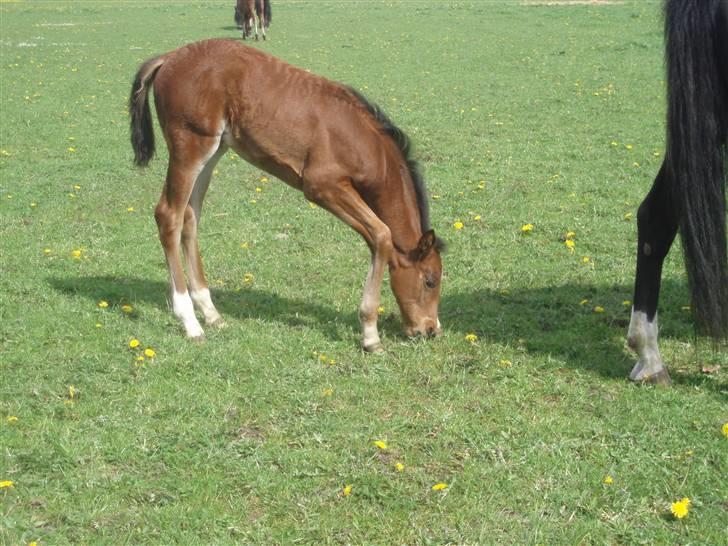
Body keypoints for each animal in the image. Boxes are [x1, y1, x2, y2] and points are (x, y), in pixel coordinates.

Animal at [130, 40, 444, 350]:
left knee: (190, 217)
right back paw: (190, 321)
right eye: (430, 281)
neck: (364, 142)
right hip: (190, 146)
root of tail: (169, 57)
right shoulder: (322, 186)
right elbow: (382, 235)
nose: (430, 329)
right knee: (169, 215)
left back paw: (211, 313)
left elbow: (377, 239)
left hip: (213, 151)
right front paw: (370, 334)